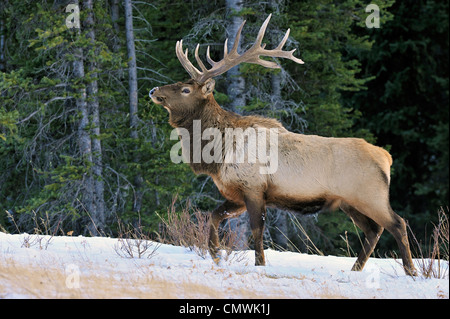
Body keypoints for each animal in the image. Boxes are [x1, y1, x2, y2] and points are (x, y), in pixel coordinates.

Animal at [149, 13, 416, 276]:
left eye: (185, 89)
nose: (153, 90)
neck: (217, 155)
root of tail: (386, 157)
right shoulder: (236, 193)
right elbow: (214, 216)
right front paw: (215, 255)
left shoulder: (254, 188)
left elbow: (256, 232)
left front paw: (259, 265)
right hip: (349, 202)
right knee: (374, 230)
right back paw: (355, 269)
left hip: (370, 195)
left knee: (397, 223)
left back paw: (411, 271)